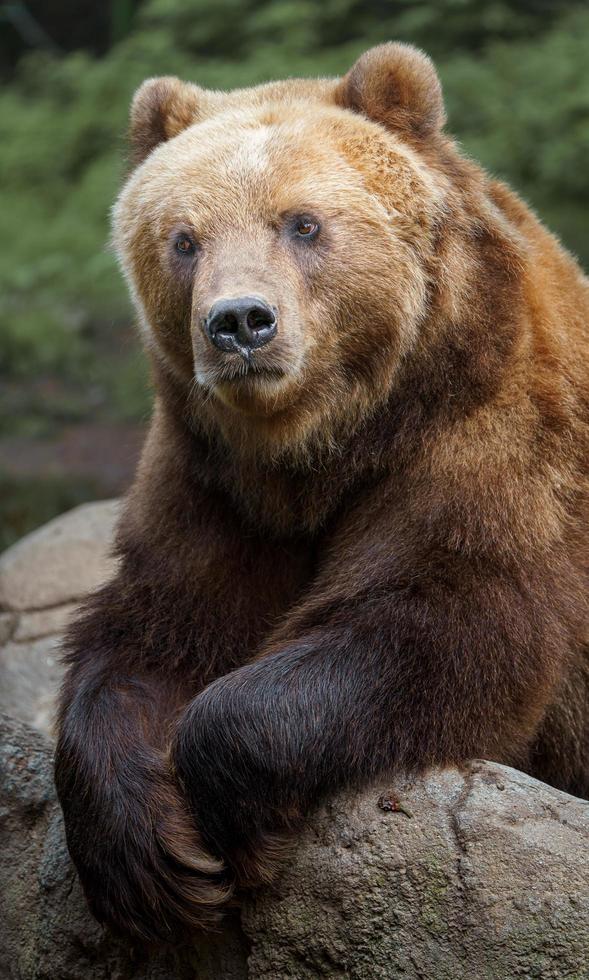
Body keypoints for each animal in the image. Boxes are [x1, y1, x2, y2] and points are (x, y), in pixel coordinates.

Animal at [55, 44, 588, 940]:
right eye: (184, 239)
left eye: (301, 223)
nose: (239, 322)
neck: (324, 443)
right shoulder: (214, 484)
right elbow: (155, 632)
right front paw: (147, 860)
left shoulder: (488, 441)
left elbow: (444, 621)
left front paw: (230, 820)